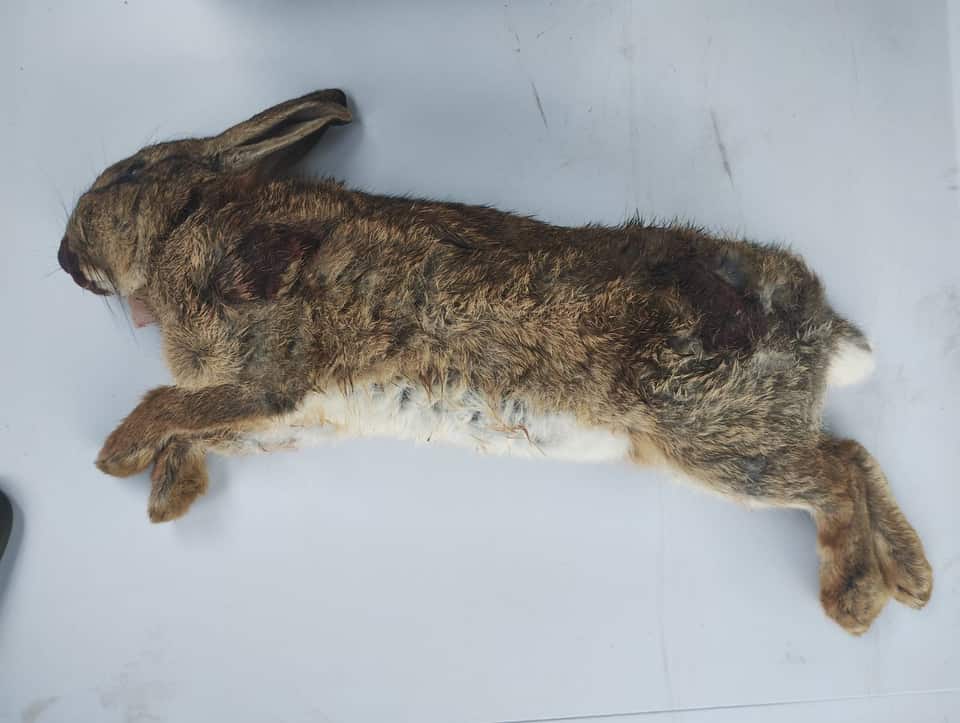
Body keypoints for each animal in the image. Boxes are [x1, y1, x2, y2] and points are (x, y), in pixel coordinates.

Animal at [57, 88, 931, 635]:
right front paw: (167, 495)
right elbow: (196, 429)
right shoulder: (294, 417)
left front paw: (116, 459)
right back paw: (915, 580)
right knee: (852, 450)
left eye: (130, 174)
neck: (185, 225)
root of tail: (821, 326)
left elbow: (167, 407)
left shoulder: (268, 376)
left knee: (831, 469)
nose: (63, 258)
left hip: (713, 436)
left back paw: (856, 600)